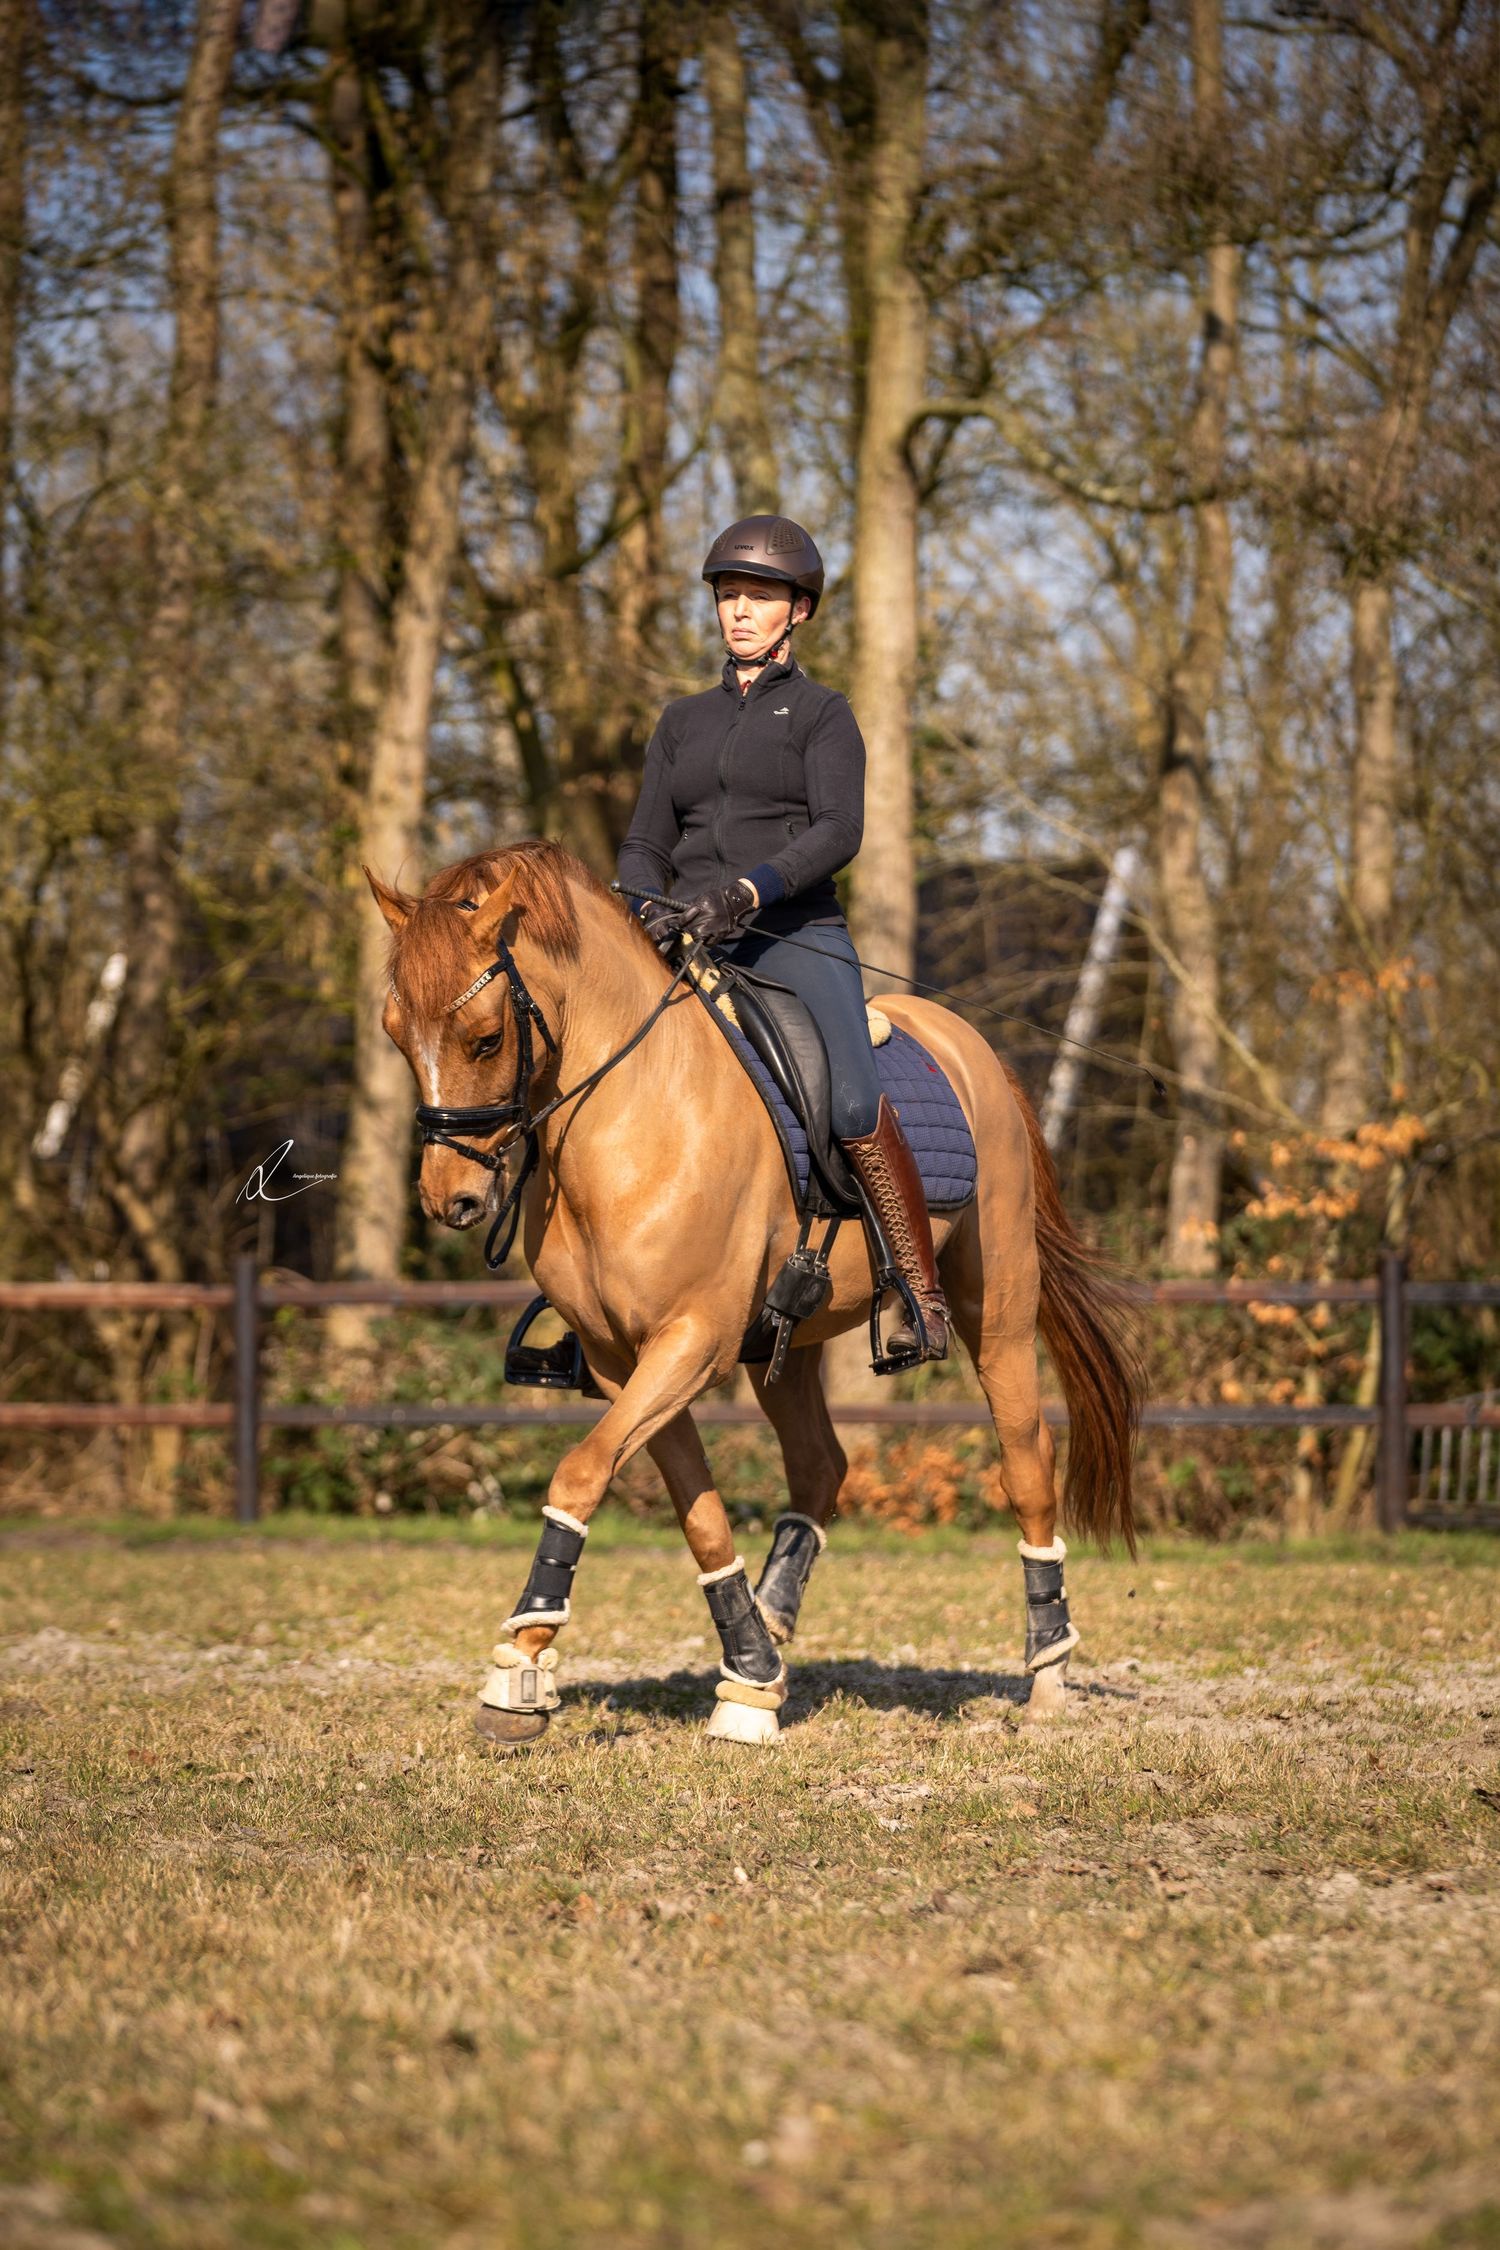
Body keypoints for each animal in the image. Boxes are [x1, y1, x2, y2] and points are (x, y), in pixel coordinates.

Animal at [368, 839, 1141, 1747]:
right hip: (790, 1341)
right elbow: (698, 1516)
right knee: (821, 1465)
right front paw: (748, 1675)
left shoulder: (690, 1341)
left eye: (485, 1039)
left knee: (1026, 1462)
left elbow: (579, 1474)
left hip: (1000, 1315)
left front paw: (515, 1674)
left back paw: (1048, 1671)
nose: (448, 1199)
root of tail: (967, 1046)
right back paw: (770, 1630)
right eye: (394, 1034)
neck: (632, 1118)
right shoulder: (624, 1361)